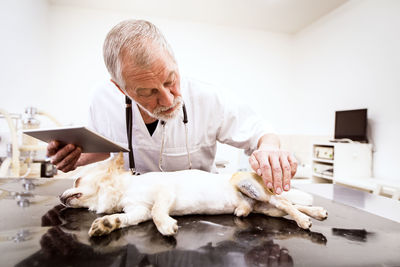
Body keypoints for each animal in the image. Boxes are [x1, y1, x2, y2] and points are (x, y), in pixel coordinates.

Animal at [60, 154, 328, 238]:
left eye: (76, 180)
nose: (60, 196)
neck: (125, 189)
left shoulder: (164, 193)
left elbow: (157, 212)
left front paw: (166, 226)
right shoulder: (137, 211)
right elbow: (124, 219)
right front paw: (106, 223)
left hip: (251, 187)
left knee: (285, 202)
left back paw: (305, 220)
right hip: (266, 208)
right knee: (286, 207)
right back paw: (315, 213)